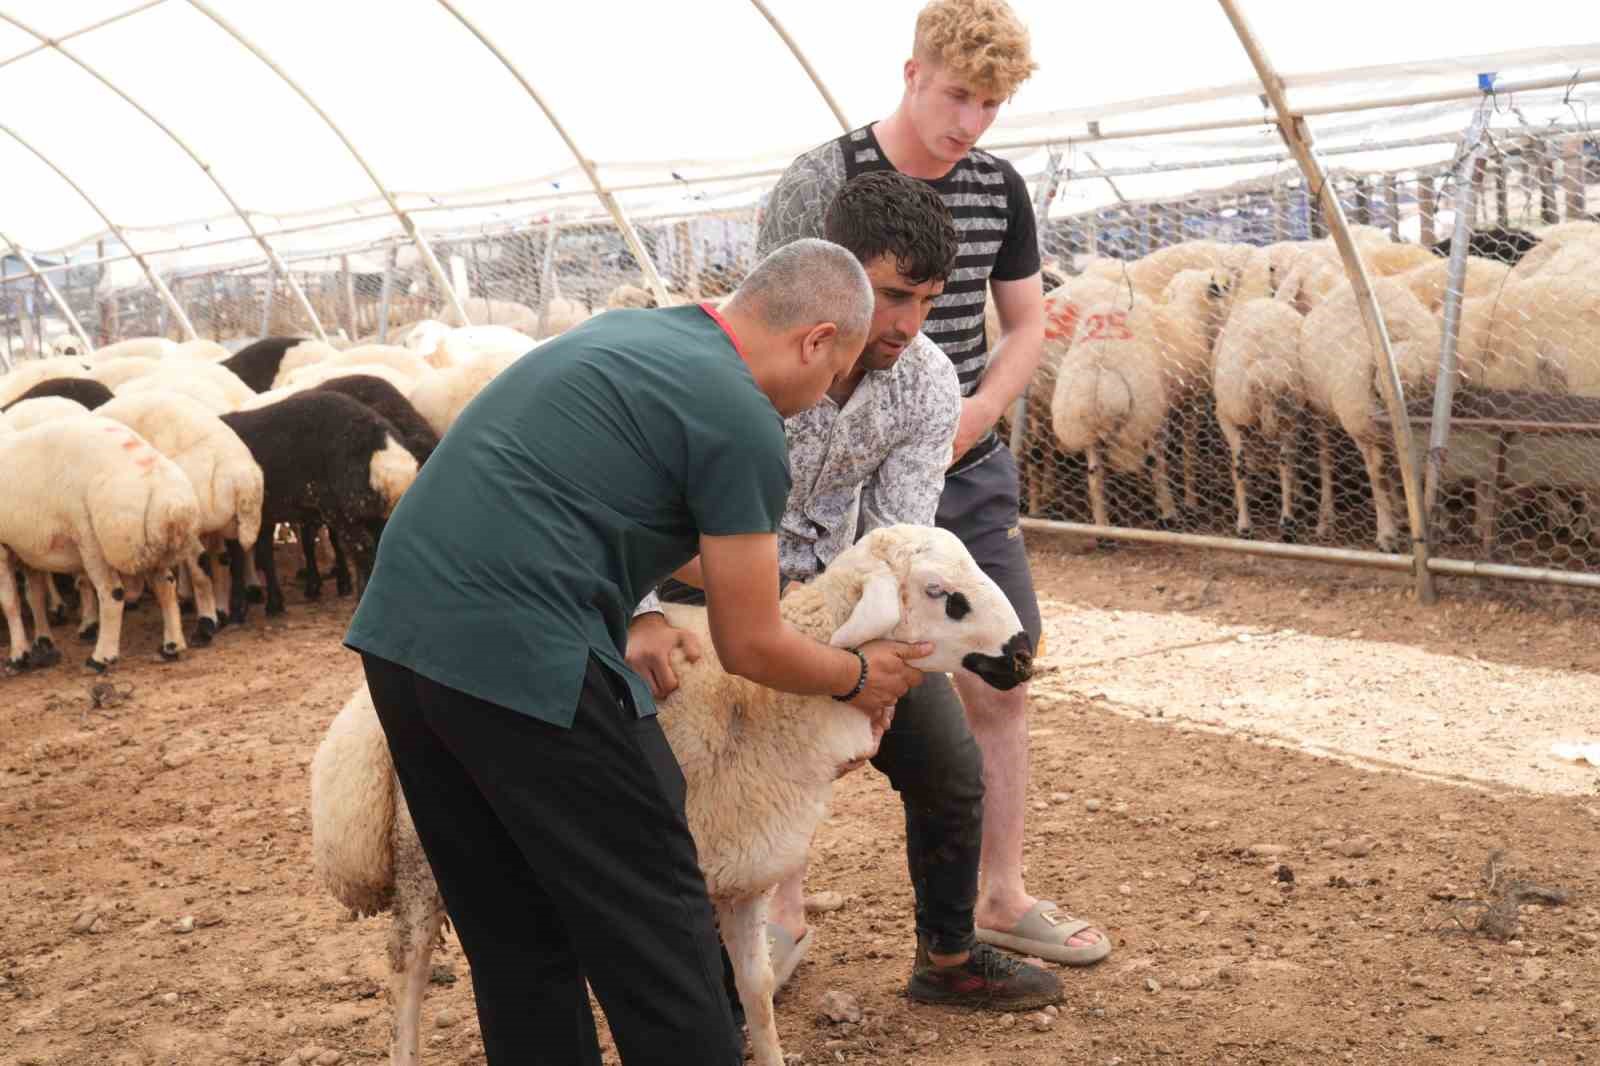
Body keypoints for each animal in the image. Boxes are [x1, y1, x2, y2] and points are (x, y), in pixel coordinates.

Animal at [0, 412, 203, 669]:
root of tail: (171, 503)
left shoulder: (3, 548)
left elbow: (10, 601)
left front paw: (18, 655)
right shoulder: (28, 549)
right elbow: (34, 596)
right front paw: (43, 643)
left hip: (93, 542)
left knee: (112, 593)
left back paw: (101, 658)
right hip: (152, 548)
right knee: (166, 586)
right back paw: (171, 646)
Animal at [219, 390, 419, 617]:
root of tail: (387, 449)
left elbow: (238, 558)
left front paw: (239, 608)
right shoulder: (265, 514)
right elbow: (266, 552)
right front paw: (275, 603)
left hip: (344, 510)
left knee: (364, 548)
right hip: (374, 513)